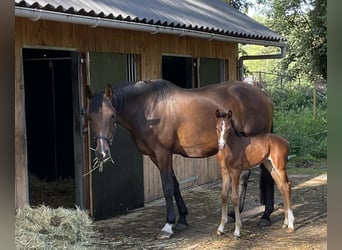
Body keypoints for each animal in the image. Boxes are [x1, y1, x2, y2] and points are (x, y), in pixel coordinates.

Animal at [87, 79, 274, 238]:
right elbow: (175, 185)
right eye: (89, 116)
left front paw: (168, 226)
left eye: (112, 115)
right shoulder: (156, 156)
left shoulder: (162, 153)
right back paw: (236, 214)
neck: (148, 108)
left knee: (267, 175)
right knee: (245, 175)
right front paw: (182, 219)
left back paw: (265, 217)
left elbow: (167, 187)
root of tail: (262, 94)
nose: (102, 153)